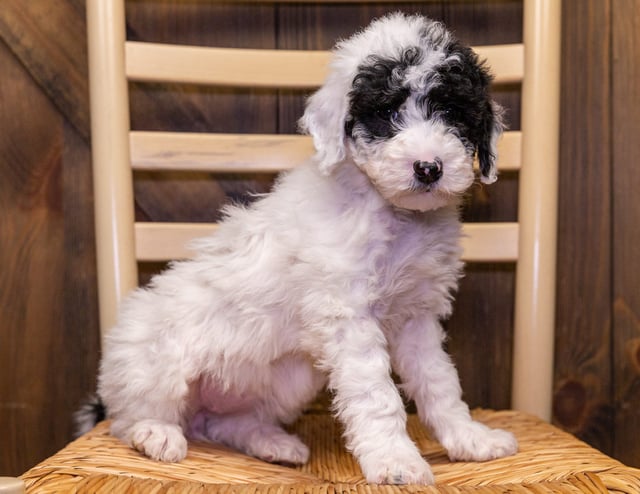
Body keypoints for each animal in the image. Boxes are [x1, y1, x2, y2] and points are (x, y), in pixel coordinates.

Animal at [100, 12, 520, 486]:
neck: (395, 216)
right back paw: (156, 434)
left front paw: (469, 439)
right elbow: (378, 394)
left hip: (288, 381)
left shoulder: (417, 317)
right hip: (159, 362)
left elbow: (439, 382)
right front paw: (396, 461)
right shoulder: (347, 315)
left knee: (222, 422)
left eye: (452, 113)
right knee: (131, 417)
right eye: (388, 112)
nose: (429, 168)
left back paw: (274, 444)